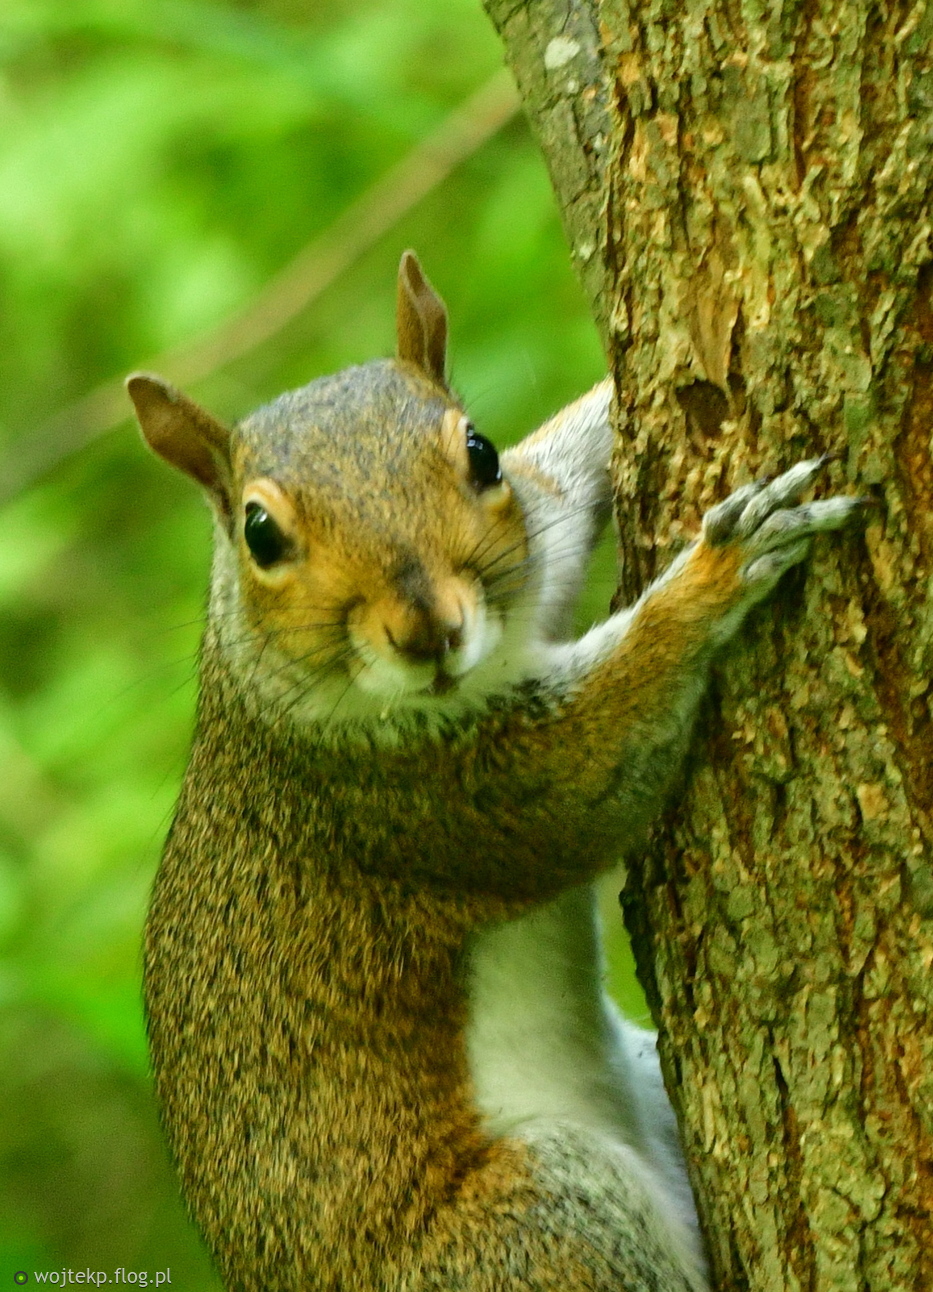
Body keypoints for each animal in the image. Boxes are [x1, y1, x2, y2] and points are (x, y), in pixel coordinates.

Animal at [127, 251, 860, 1292]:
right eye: (259, 534)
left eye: (480, 453)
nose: (427, 630)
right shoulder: (419, 800)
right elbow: (594, 767)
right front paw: (715, 575)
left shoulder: (538, 543)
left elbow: (568, 463)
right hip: (535, 1229)